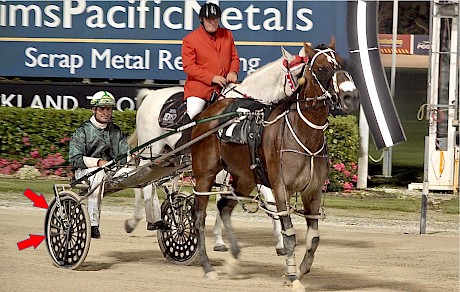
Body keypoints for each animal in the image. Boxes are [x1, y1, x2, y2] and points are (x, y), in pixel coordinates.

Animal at [125, 46, 310, 256]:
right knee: (141, 182)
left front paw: (281, 242)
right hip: (151, 151)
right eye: (302, 74)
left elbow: (269, 200)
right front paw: (220, 240)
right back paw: (144, 221)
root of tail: (151, 95)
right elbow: (222, 197)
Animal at [190, 37, 360, 290]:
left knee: (224, 207)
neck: (303, 133)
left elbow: (313, 239)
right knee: (200, 218)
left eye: (342, 63)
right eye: (321, 68)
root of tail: (208, 114)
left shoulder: (312, 192)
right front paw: (292, 277)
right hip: (205, 174)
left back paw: (233, 259)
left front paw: (298, 272)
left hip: (244, 177)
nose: (351, 96)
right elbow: (289, 233)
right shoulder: (281, 188)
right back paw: (208, 267)